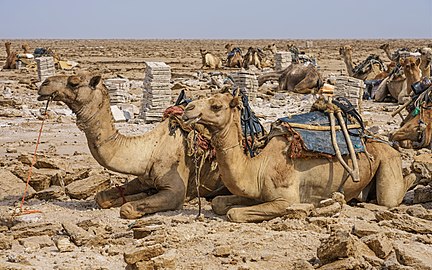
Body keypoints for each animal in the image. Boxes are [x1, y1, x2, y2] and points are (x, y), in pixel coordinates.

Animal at [38, 74, 226, 219]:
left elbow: (127, 208)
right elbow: (102, 196)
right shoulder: (144, 178)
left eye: (74, 82)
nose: (44, 84)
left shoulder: (175, 191)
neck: (151, 148)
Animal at [183, 92, 416, 223]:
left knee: (390, 199)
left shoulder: (286, 200)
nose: (188, 109)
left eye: (216, 106)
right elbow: (219, 203)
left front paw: (310, 207)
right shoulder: (258, 194)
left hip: (388, 160)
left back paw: (412, 175)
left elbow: (234, 214)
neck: (257, 167)